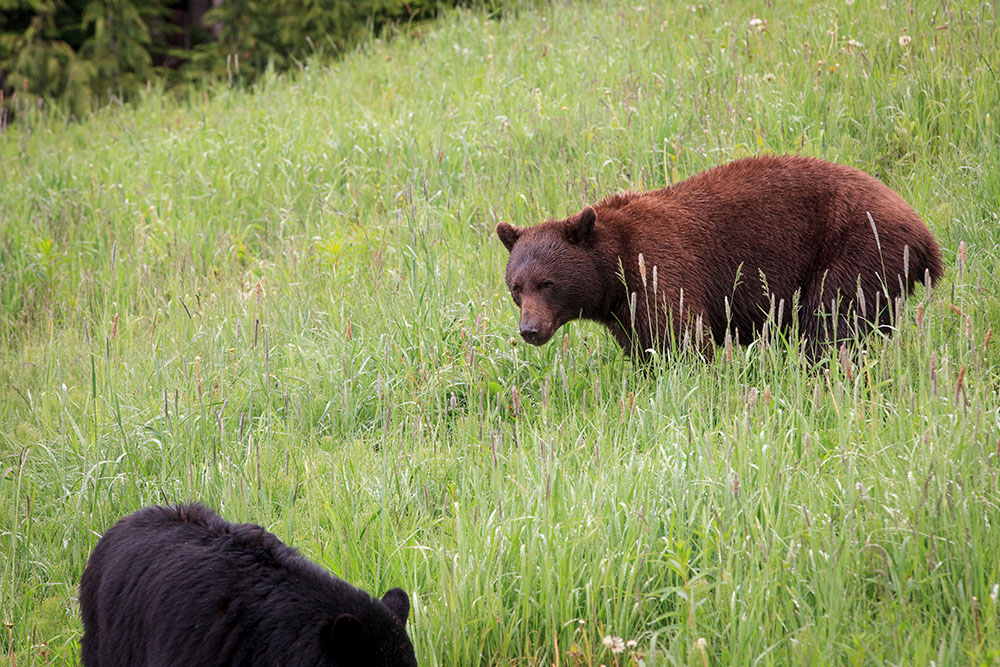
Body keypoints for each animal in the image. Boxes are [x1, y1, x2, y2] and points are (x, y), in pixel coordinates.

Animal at [498, 154, 944, 360]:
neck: (615, 268)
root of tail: (926, 236)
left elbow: (683, 340)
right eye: (516, 288)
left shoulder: (660, 269)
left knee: (832, 324)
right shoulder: (625, 308)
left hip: (857, 249)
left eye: (548, 282)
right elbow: (646, 348)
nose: (530, 330)